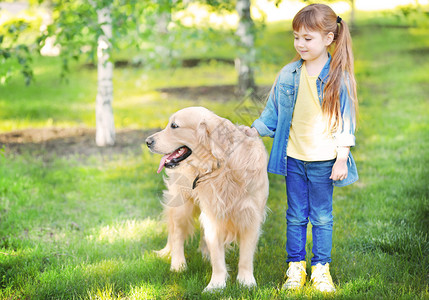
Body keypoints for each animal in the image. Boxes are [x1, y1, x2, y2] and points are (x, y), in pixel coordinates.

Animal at [145, 106, 270, 290]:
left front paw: (246, 282)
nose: (147, 141)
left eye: (174, 126)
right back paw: (178, 264)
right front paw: (216, 285)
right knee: (177, 233)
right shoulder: (213, 213)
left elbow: (246, 256)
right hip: (181, 204)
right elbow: (218, 257)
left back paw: (205, 254)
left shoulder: (250, 215)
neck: (222, 167)